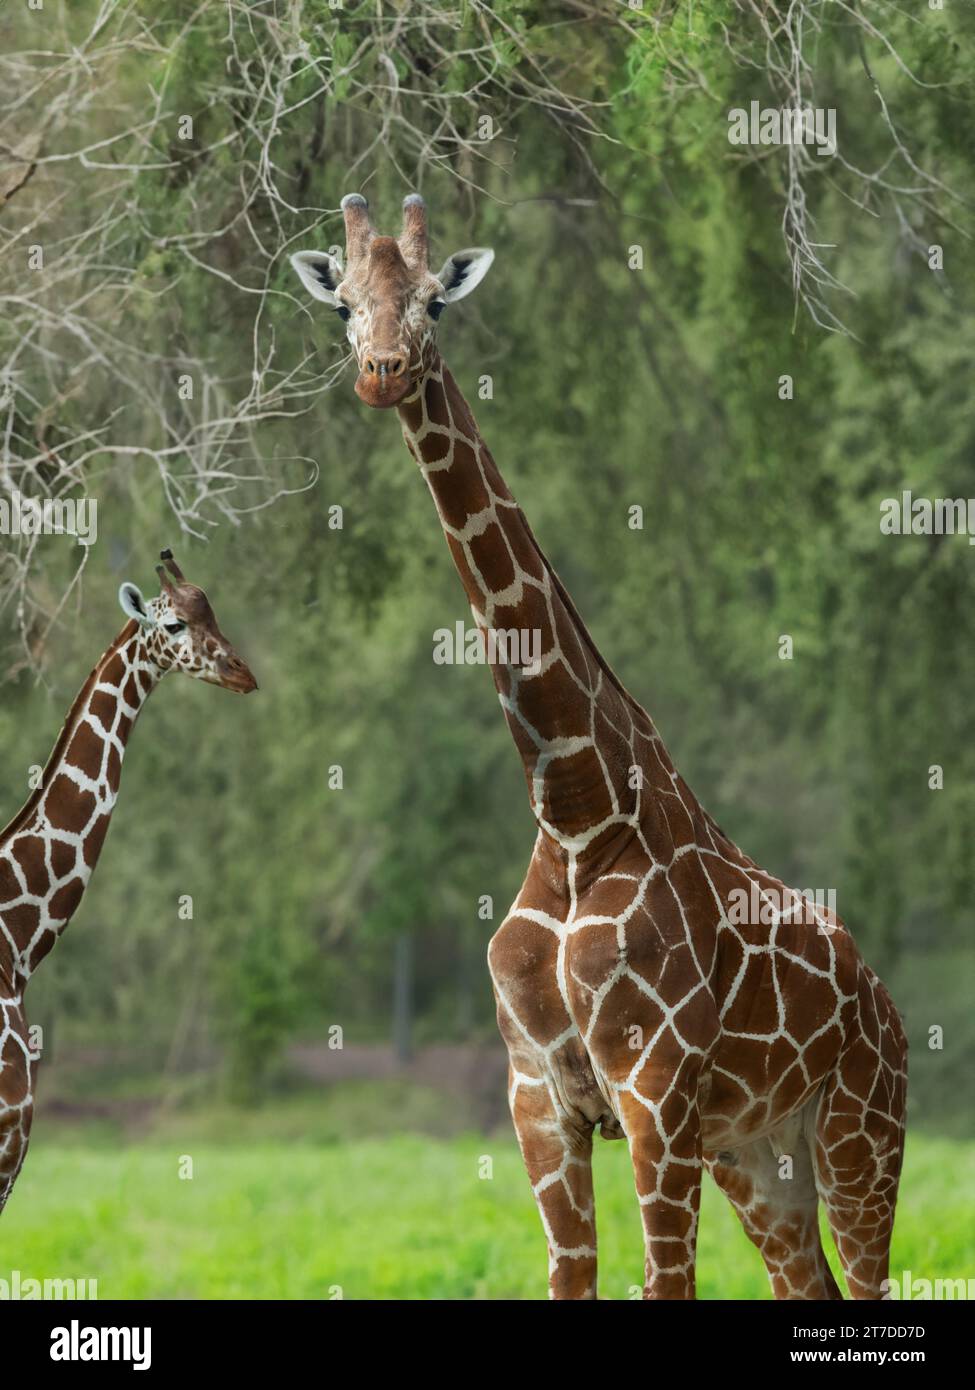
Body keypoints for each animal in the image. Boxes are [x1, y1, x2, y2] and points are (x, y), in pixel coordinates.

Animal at [292, 195, 908, 1301]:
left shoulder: (656, 1093)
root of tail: (889, 1010)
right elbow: (570, 1278)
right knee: (808, 1285)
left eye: (434, 301)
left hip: (859, 1137)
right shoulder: (539, 1094)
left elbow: (665, 1285)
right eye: (346, 304)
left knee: (872, 1279)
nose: (384, 373)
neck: (577, 809)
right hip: (762, 1159)